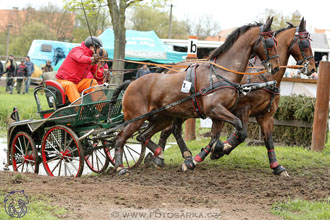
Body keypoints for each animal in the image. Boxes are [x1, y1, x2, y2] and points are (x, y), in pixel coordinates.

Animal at [113, 18, 278, 174]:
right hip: (136, 119)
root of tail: (131, 83)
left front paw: (204, 156)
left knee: (142, 136)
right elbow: (236, 126)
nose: (275, 67)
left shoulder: (219, 115)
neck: (220, 74)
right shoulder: (215, 110)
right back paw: (120, 167)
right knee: (120, 138)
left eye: (276, 41)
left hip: (162, 118)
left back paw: (158, 155)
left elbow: (218, 137)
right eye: (270, 43)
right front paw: (217, 151)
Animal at [189, 17, 316, 175]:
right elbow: (241, 134)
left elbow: (268, 140)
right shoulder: (243, 109)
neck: (263, 76)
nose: (312, 68)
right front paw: (219, 150)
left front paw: (277, 166)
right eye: (304, 43)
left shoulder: (266, 115)